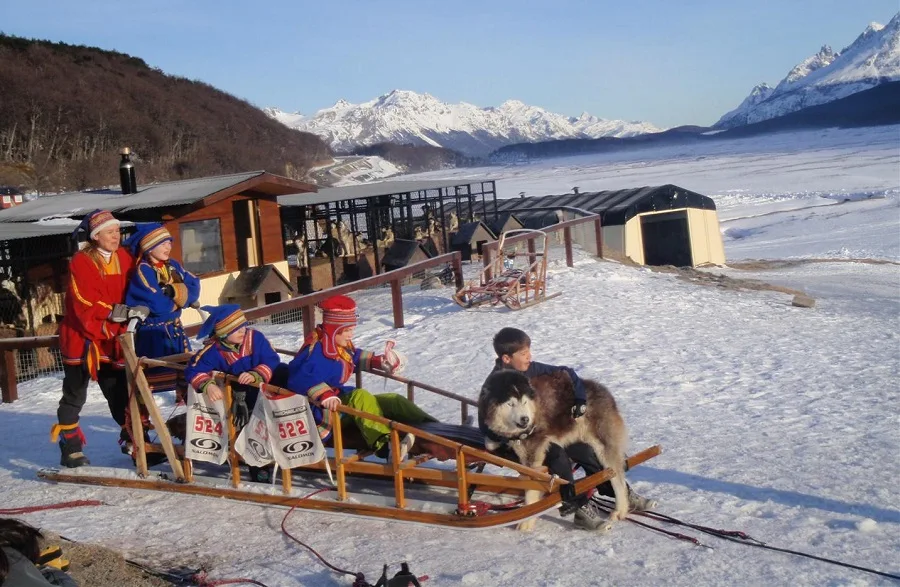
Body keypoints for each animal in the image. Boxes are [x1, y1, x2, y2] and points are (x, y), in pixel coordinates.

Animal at [474, 372, 628, 532]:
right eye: (510, 404)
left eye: (524, 402)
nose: (525, 419)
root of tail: (604, 391)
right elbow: (490, 443)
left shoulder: (532, 453)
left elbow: (530, 488)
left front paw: (526, 522)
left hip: (603, 447)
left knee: (617, 478)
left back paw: (620, 510)